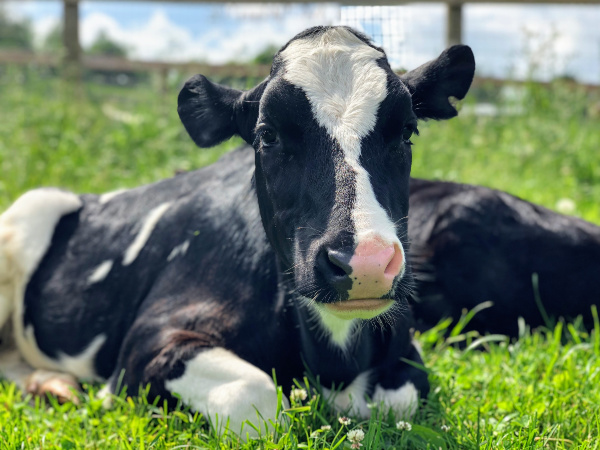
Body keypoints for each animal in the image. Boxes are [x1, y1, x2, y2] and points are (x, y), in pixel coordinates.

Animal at [0, 26, 596, 434]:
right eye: (267, 135)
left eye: (407, 130)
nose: (365, 263)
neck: (333, 359)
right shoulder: (149, 341)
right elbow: (259, 398)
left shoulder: (406, 358)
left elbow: (396, 396)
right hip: (25, 215)